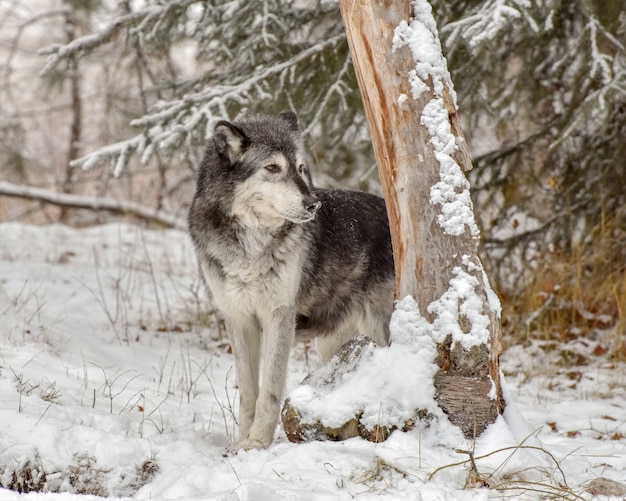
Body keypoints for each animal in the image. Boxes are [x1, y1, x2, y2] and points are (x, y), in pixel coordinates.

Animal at [188, 111, 392, 452]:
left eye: (300, 168)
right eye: (272, 168)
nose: (313, 204)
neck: (251, 247)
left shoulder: (278, 316)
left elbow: (270, 389)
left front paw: (258, 442)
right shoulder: (238, 318)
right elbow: (248, 392)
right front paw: (240, 442)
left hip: (378, 330)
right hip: (332, 343)